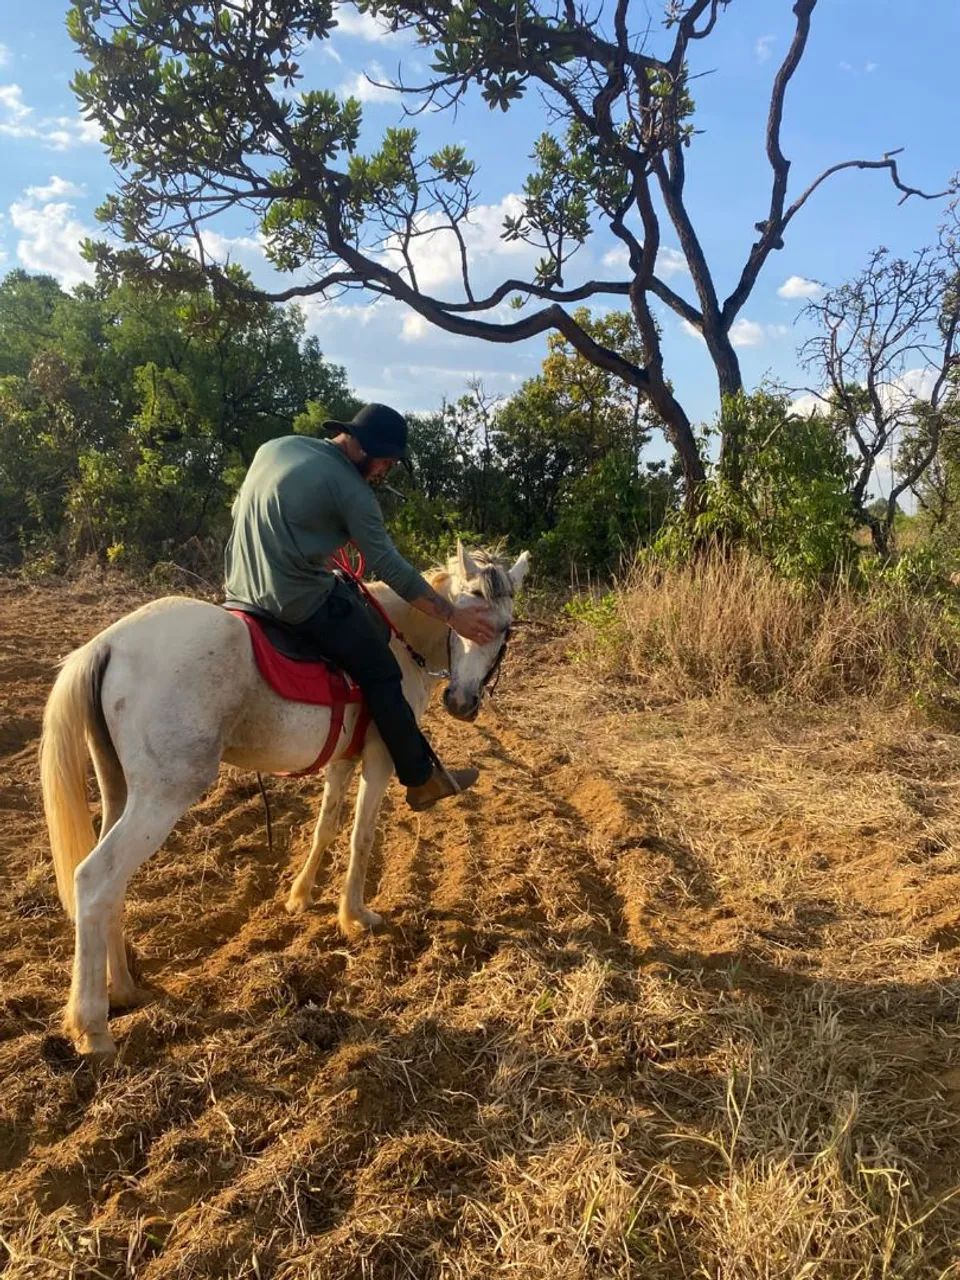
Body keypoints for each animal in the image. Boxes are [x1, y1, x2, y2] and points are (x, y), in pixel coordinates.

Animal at [40, 542, 530, 1062]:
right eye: (475, 621)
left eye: (503, 629)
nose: (463, 703)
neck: (401, 637)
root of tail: (109, 644)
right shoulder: (378, 759)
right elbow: (362, 836)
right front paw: (355, 916)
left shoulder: (342, 761)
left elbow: (326, 826)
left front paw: (301, 896)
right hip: (160, 799)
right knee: (95, 879)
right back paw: (93, 1027)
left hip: (120, 793)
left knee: (112, 888)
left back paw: (125, 989)